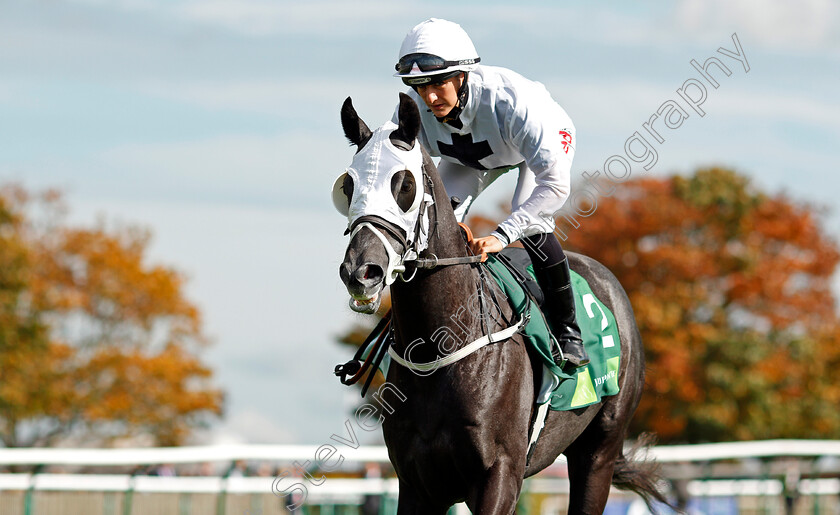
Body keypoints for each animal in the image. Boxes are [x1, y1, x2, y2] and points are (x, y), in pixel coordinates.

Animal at [332, 93, 668, 515]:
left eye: (404, 184)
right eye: (348, 185)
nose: (361, 271)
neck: (441, 347)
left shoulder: (500, 475)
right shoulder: (416, 484)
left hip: (599, 453)